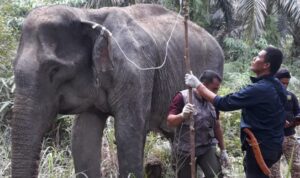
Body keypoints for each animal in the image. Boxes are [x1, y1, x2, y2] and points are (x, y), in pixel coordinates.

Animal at [11, 3, 223, 178]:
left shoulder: (136, 70)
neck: (87, 15)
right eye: (13, 66)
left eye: (54, 70)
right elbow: (82, 136)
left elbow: (128, 132)